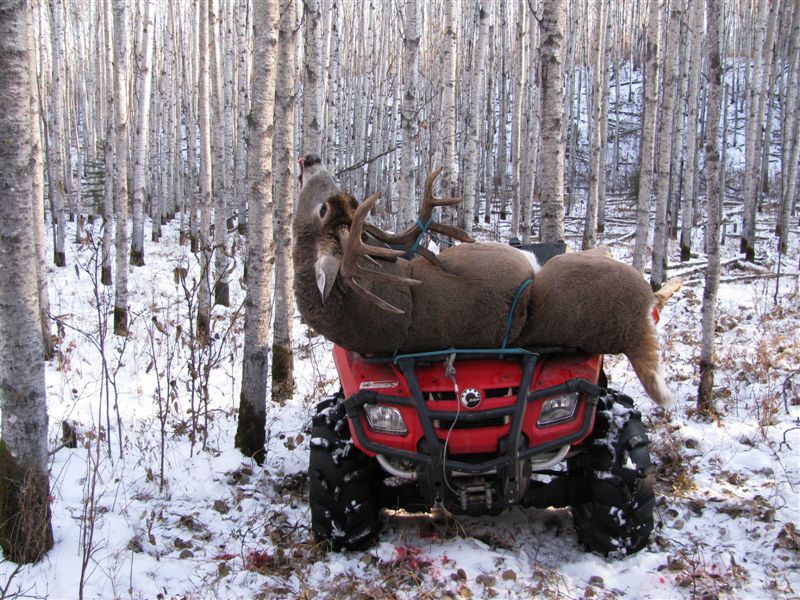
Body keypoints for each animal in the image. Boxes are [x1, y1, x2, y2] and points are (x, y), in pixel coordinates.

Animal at [294, 155, 680, 408]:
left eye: (351, 200)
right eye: (323, 210)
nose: (310, 158)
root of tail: (632, 331)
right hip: (578, 271)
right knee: (642, 287)